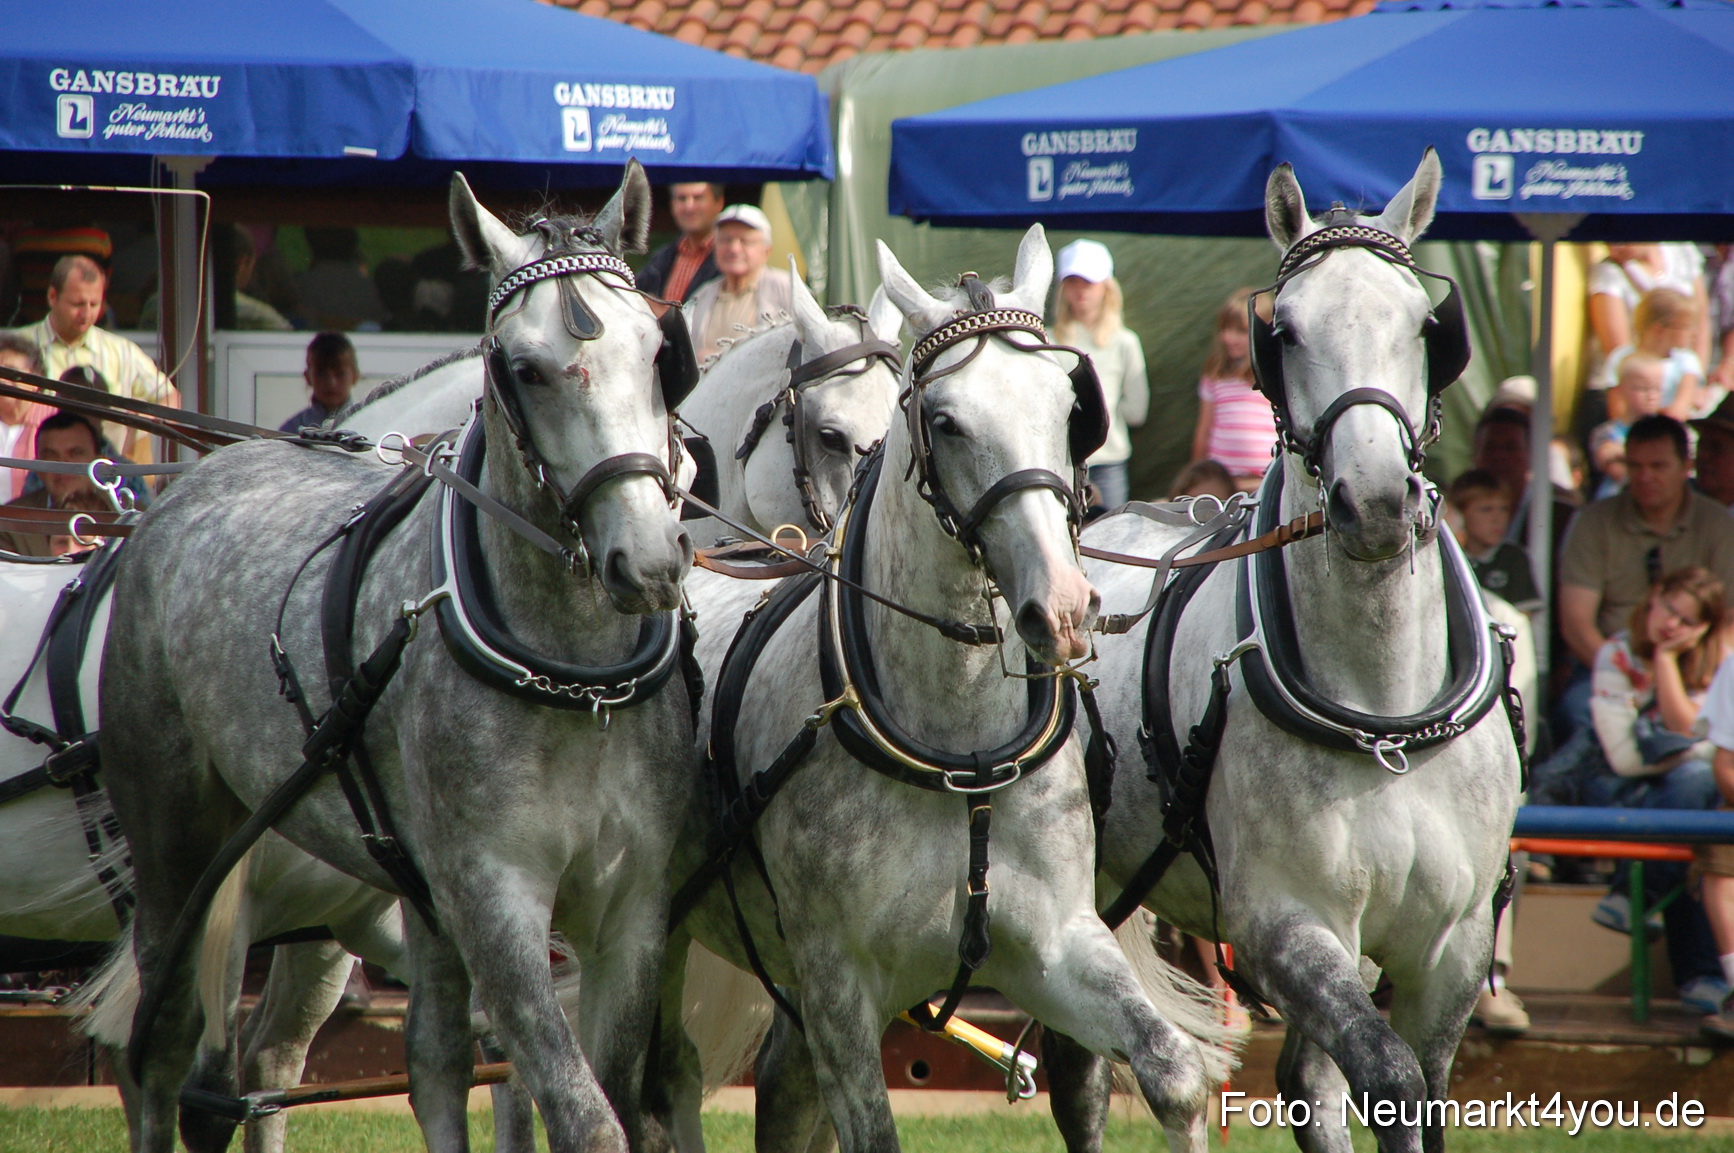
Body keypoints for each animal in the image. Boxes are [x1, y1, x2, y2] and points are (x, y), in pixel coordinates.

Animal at [99, 162, 698, 1153]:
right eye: (521, 368)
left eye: (658, 352)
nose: (647, 560)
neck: (570, 679)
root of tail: (181, 490)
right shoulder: (495, 901)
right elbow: (584, 1114)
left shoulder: (632, 913)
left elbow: (603, 1091)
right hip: (178, 844)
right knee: (163, 1044)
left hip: (406, 884)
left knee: (434, 1060)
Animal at [1058, 151, 1522, 1153]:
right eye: (1286, 330)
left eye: (1426, 324)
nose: (1376, 501)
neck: (1386, 715)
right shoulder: (1285, 922)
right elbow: (1388, 1075)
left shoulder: (1456, 946)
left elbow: (1411, 1089)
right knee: (1080, 1075)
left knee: (1302, 1078)